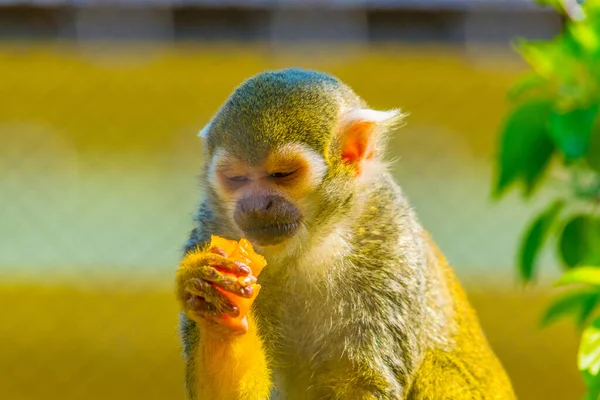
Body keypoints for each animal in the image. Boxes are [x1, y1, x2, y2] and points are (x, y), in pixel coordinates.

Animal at [175, 67, 516, 398]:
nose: (257, 206)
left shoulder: (389, 237)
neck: (310, 243)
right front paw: (217, 311)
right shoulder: (211, 227)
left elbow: (365, 380)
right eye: (236, 178)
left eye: (283, 174)